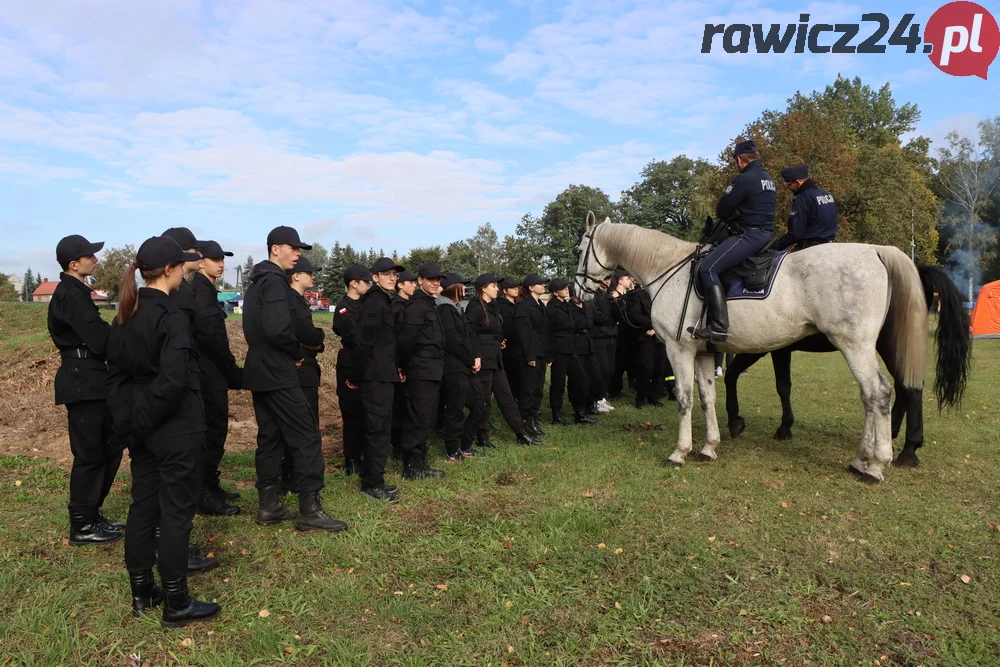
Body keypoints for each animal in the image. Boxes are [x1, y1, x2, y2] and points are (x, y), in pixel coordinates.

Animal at [576, 214, 972, 480]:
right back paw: (869, 456)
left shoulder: (680, 350)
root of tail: (877, 250)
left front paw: (680, 451)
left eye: (580, 249)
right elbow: (708, 398)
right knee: (884, 394)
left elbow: (686, 400)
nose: (579, 293)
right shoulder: (705, 353)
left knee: (880, 393)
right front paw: (710, 447)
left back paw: (877, 463)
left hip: (857, 345)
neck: (670, 270)